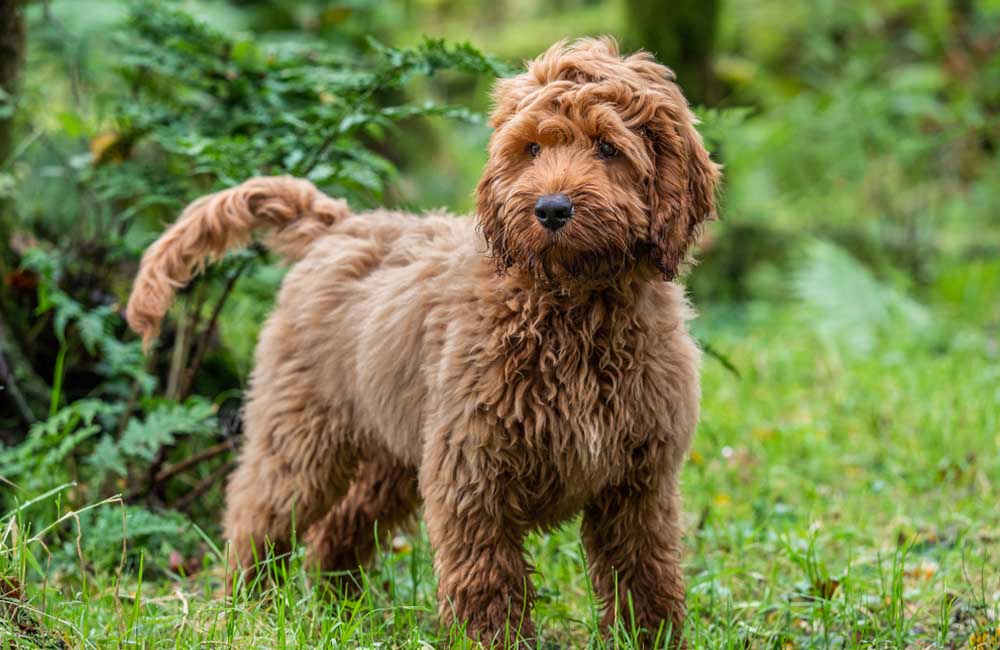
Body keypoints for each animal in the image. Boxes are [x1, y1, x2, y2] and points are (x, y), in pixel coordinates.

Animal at [125, 38, 720, 644]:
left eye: (607, 147)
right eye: (531, 148)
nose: (551, 209)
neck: (572, 307)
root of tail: (340, 224)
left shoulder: (638, 483)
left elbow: (645, 573)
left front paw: (653, 639)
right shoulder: (472, 470)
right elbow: (487, 578)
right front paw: (492, 642)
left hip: (391, 447)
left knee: (339, 528)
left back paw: (342, 610)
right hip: (301, 432)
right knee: (258, 515)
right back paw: (248, 609)